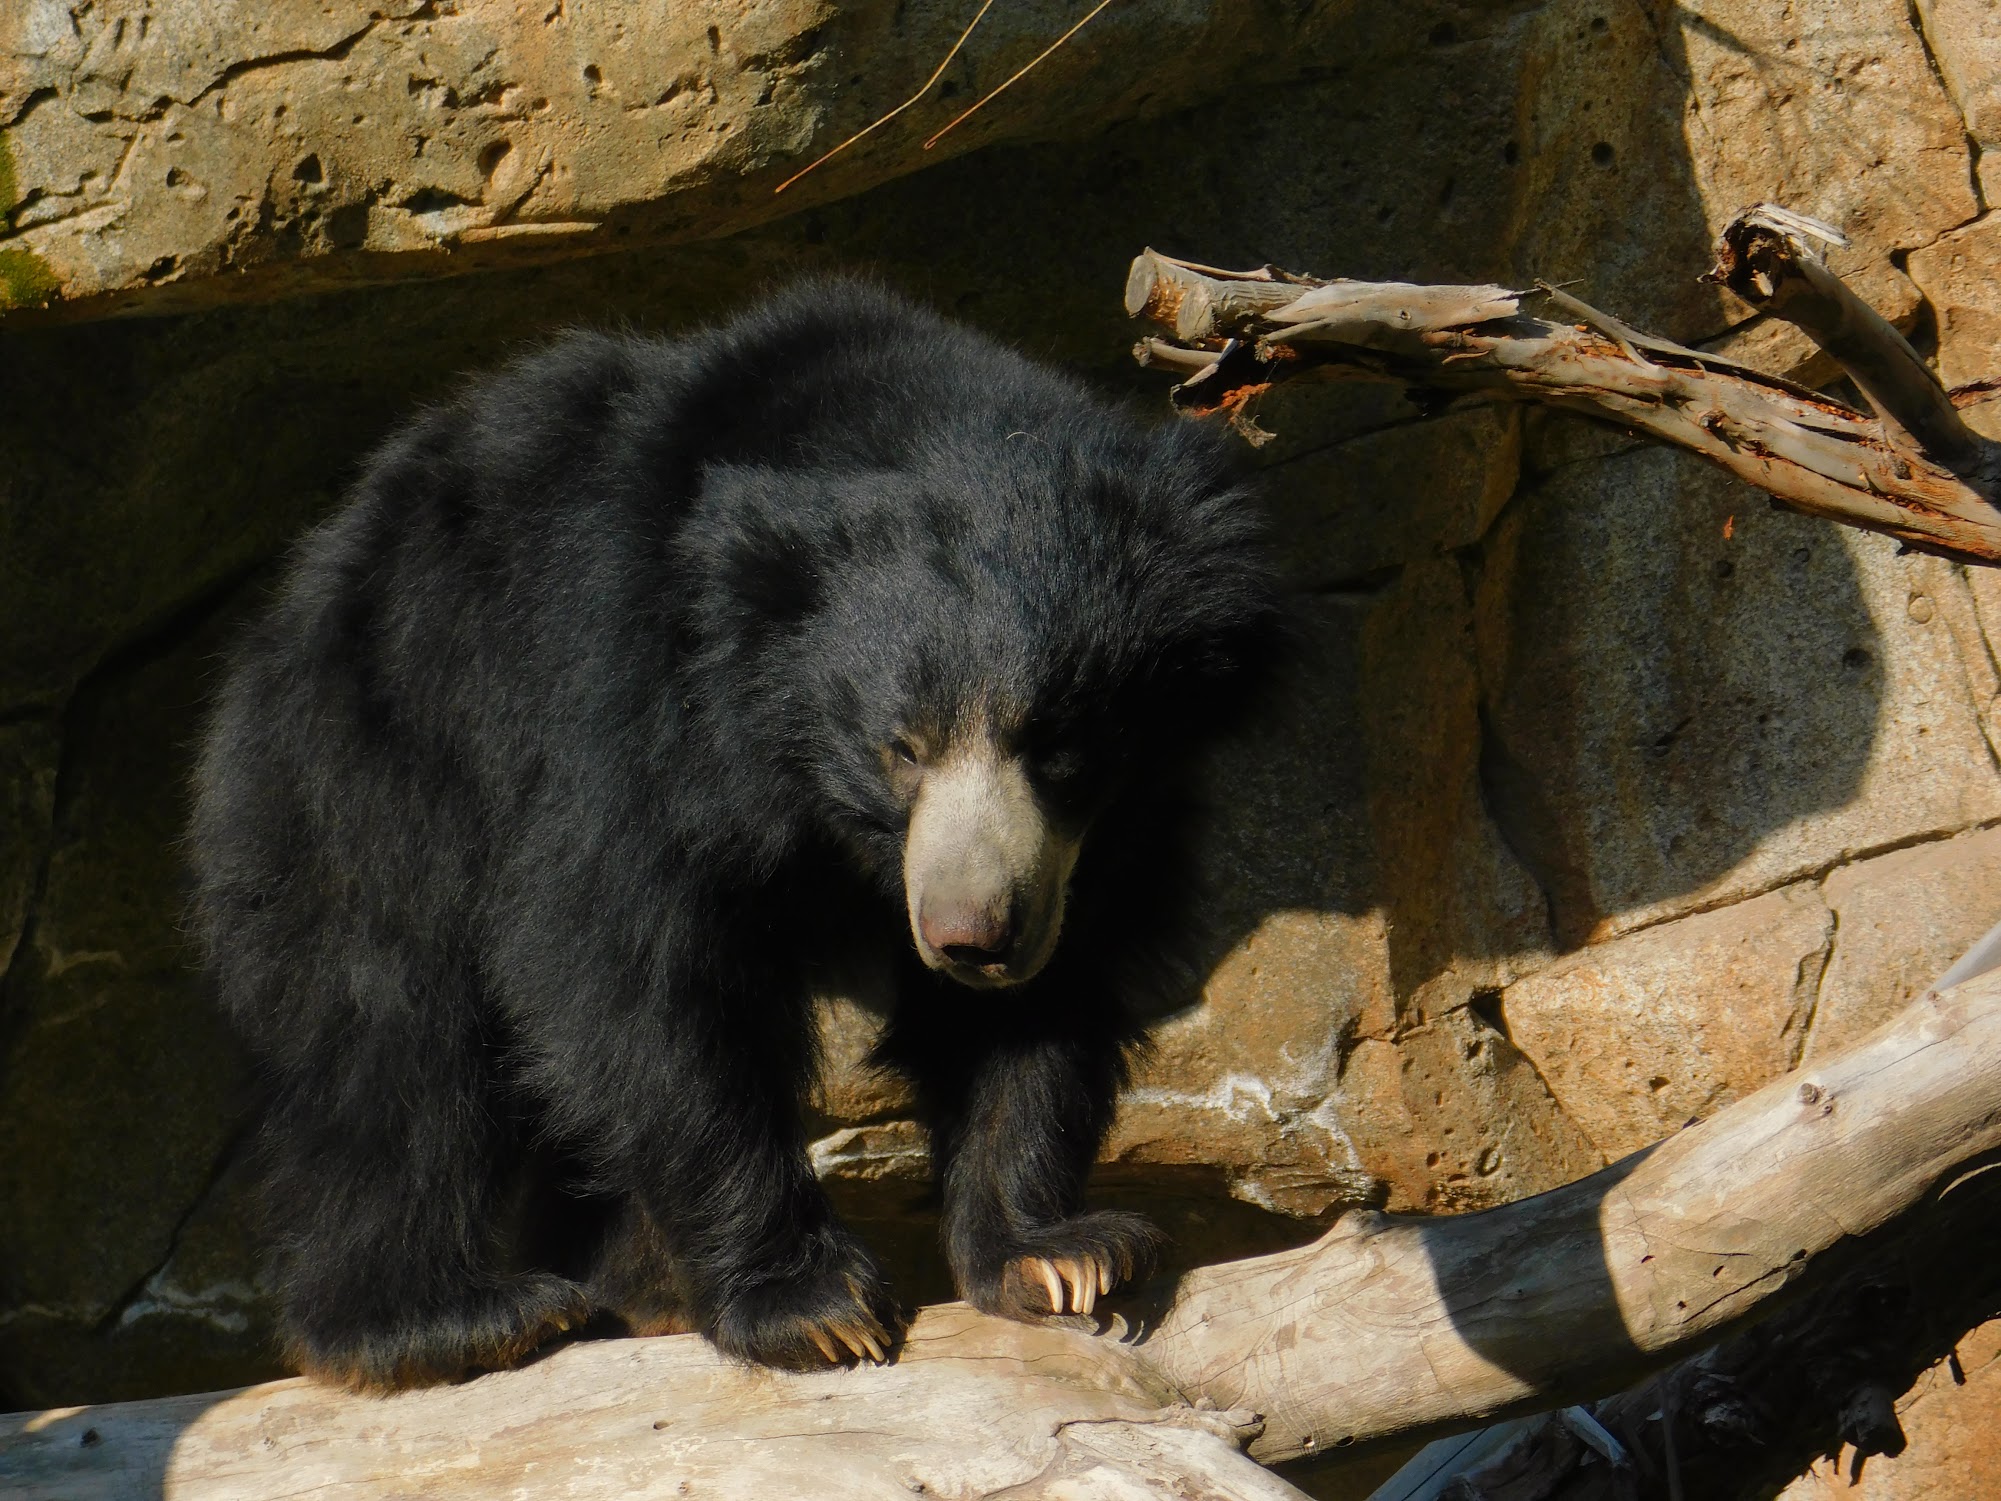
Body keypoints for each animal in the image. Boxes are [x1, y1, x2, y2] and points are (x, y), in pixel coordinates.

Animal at [190, 279, 1278, 1389]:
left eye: (1061, 745)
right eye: (900, 747)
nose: (970, 936)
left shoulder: (1094, 839)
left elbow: (1054, 991)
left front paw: (1059, 1254)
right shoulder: (624, 691)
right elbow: (631, 971)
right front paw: (813, 1303)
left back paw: (632, 1287)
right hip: (374, 766)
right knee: (389, 1040)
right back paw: (448, 1315)